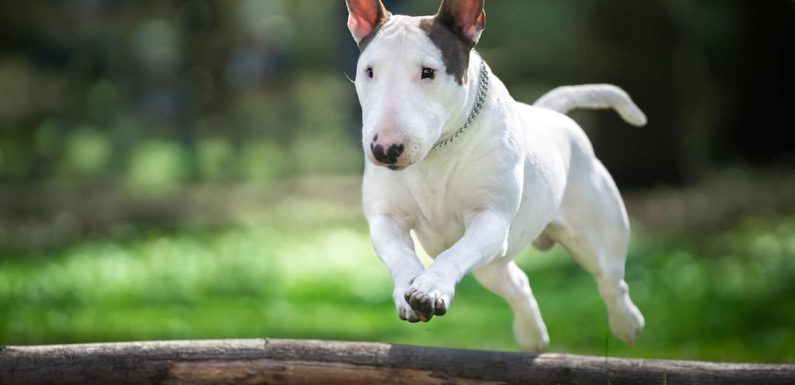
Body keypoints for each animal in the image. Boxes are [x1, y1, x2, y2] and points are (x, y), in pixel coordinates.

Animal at [348, 0, 648, 352]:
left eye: (428, 71)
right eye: (369, 70)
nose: (384, 150)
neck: (437, 153)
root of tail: (551, 114)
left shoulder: (491, 218)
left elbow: (455, 252)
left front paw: (429, 288)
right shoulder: (386, 219)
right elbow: (400, 254)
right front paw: (408, 291)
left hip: (594, 234)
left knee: (611, 281)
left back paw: (627, 323)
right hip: (492, 264)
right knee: (518, 284)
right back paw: (532, 336)